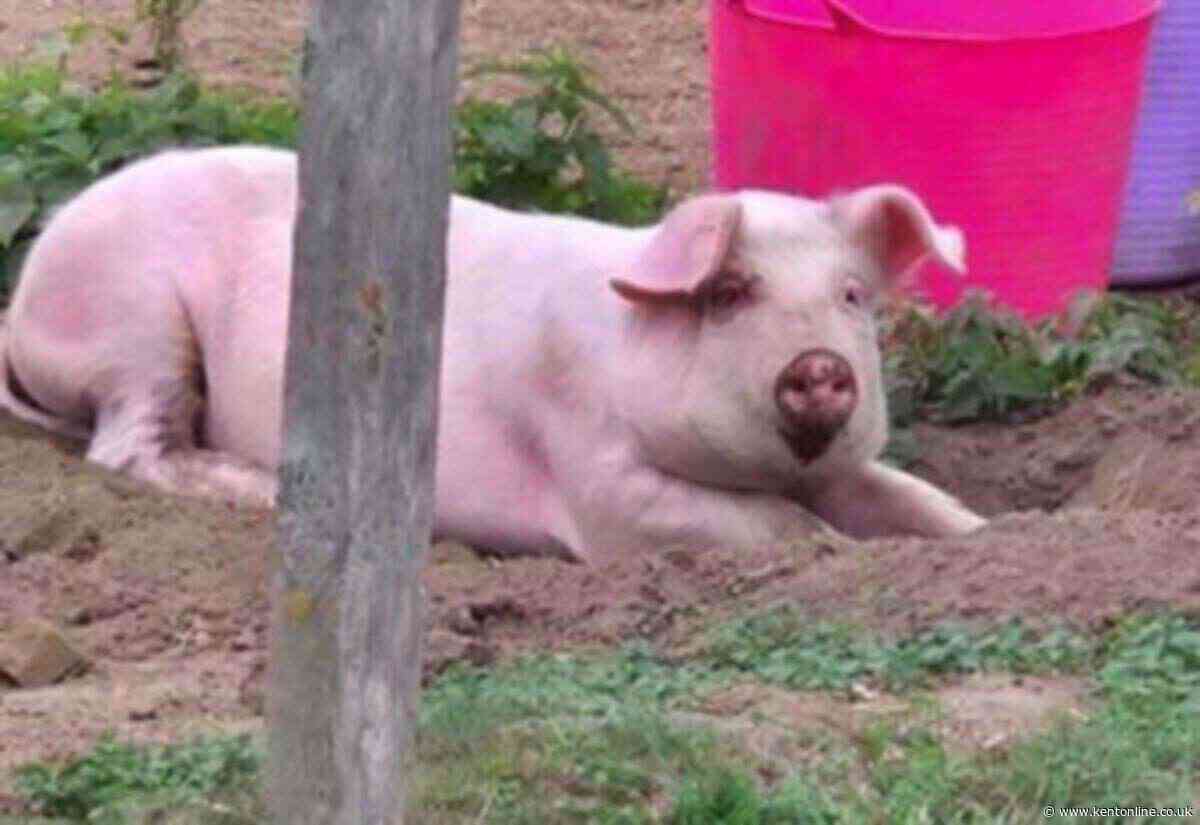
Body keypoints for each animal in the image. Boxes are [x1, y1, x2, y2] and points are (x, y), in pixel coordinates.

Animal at [0, 146, 985, 562]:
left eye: (852, 295)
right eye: (732, 293)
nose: (820, 365)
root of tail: (25, 302)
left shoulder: (842, 467)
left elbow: (912, 496)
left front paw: (987, 535)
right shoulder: (597, 478)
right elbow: (769, 526)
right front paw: (834, 551)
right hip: (134, 322)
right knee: (127, 448)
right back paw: (266, 488)